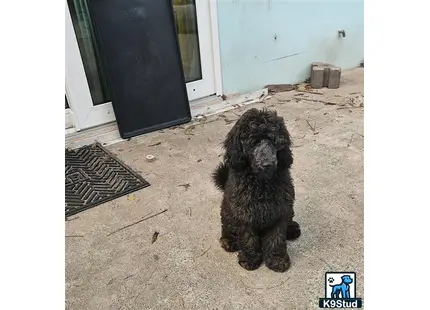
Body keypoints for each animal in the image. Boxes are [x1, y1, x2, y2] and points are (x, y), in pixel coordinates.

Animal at [212, 108, 300, 272]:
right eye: (253, 142)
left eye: (274, 141)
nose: (268, 164)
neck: (262, 184)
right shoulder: (243, 214)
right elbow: (248, 238)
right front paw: (250, 259)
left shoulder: (279, 211)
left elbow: (276, 238)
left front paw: (277, 260)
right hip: (227, 212)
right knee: (226, 227)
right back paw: (228, 241)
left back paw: (292, 229)